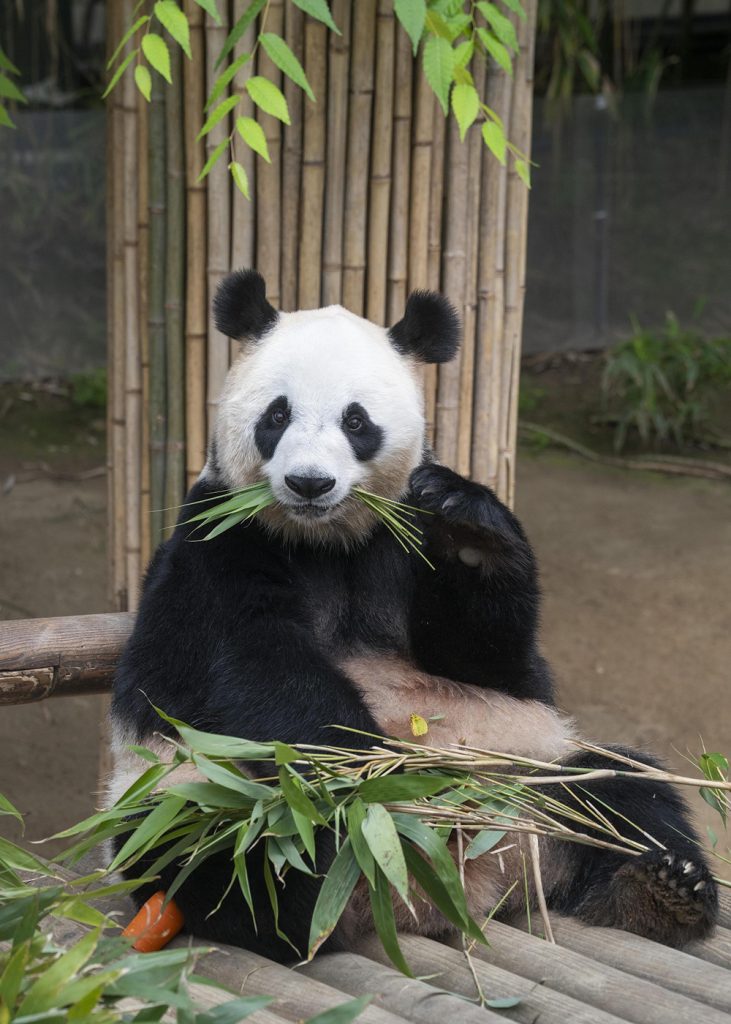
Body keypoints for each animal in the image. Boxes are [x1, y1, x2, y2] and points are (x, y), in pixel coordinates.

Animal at [110, 268, 718, 960]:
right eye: (277, 415)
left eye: (355, 420)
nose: (309, 483)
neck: (327, 540)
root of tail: (447, 892)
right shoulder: (222, 541)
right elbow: (261, 666)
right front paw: (372, 774)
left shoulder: (403, 540)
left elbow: (485, 657)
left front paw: (472, 531)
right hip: (186, 792)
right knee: (222, 850)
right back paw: (322, 868)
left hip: (533, 773)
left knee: (619, 790)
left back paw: (660, 889)